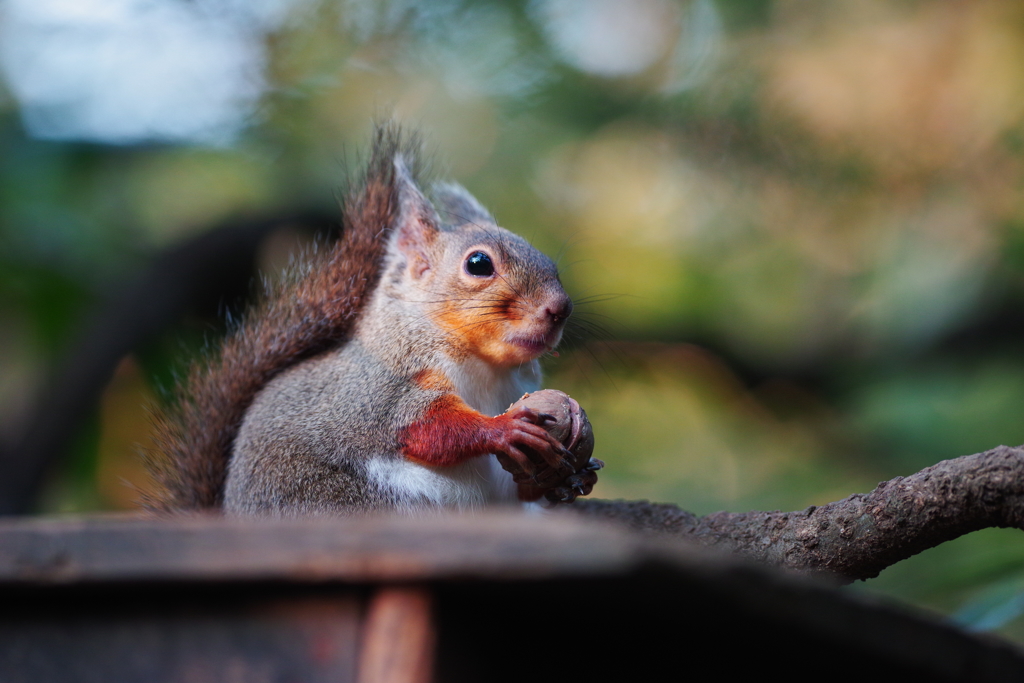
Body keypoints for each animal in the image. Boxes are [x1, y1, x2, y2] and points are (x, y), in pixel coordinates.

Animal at [151, 122, 598, 516]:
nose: (559, 308)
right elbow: (420, 425)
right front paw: (505, 428)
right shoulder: (382, 389)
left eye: (547, 259)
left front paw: (570, 479)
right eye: (478, 264)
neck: (488, 368)